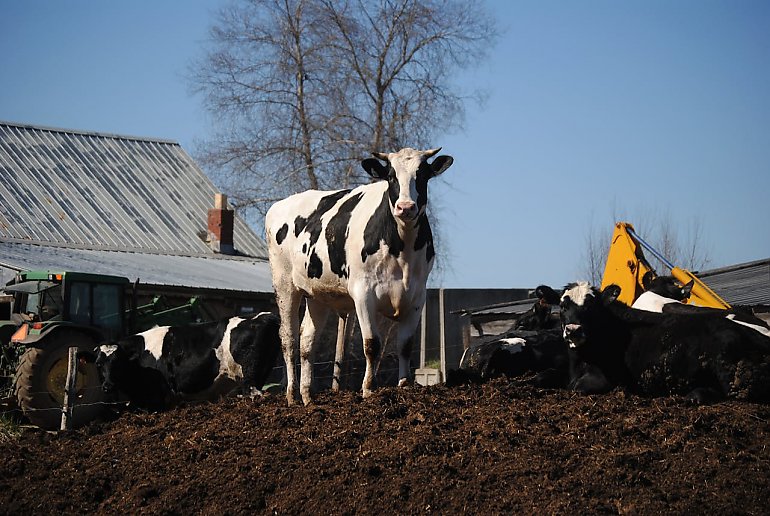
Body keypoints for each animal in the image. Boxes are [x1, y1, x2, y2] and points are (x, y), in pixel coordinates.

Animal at [96, 310, 280, 412]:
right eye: (98, 364)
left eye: (118, 362)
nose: (107, 386)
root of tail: (266, 316)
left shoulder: (156, 397)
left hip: (250, 377)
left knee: (254, 394)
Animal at [268, 147, 452, 406]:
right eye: (391, 177)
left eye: (423, 175)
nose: (406, 207)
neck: (401, 248)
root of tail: (281, 204)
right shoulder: (364, 294)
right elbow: (372, 344)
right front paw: (368, 389)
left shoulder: (417, 296)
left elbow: (405, 345)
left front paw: (404, 385)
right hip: (284, 285)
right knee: (289, 339)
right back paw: (292, 396)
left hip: (316, 295)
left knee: (307, 341)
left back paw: (307, 397)